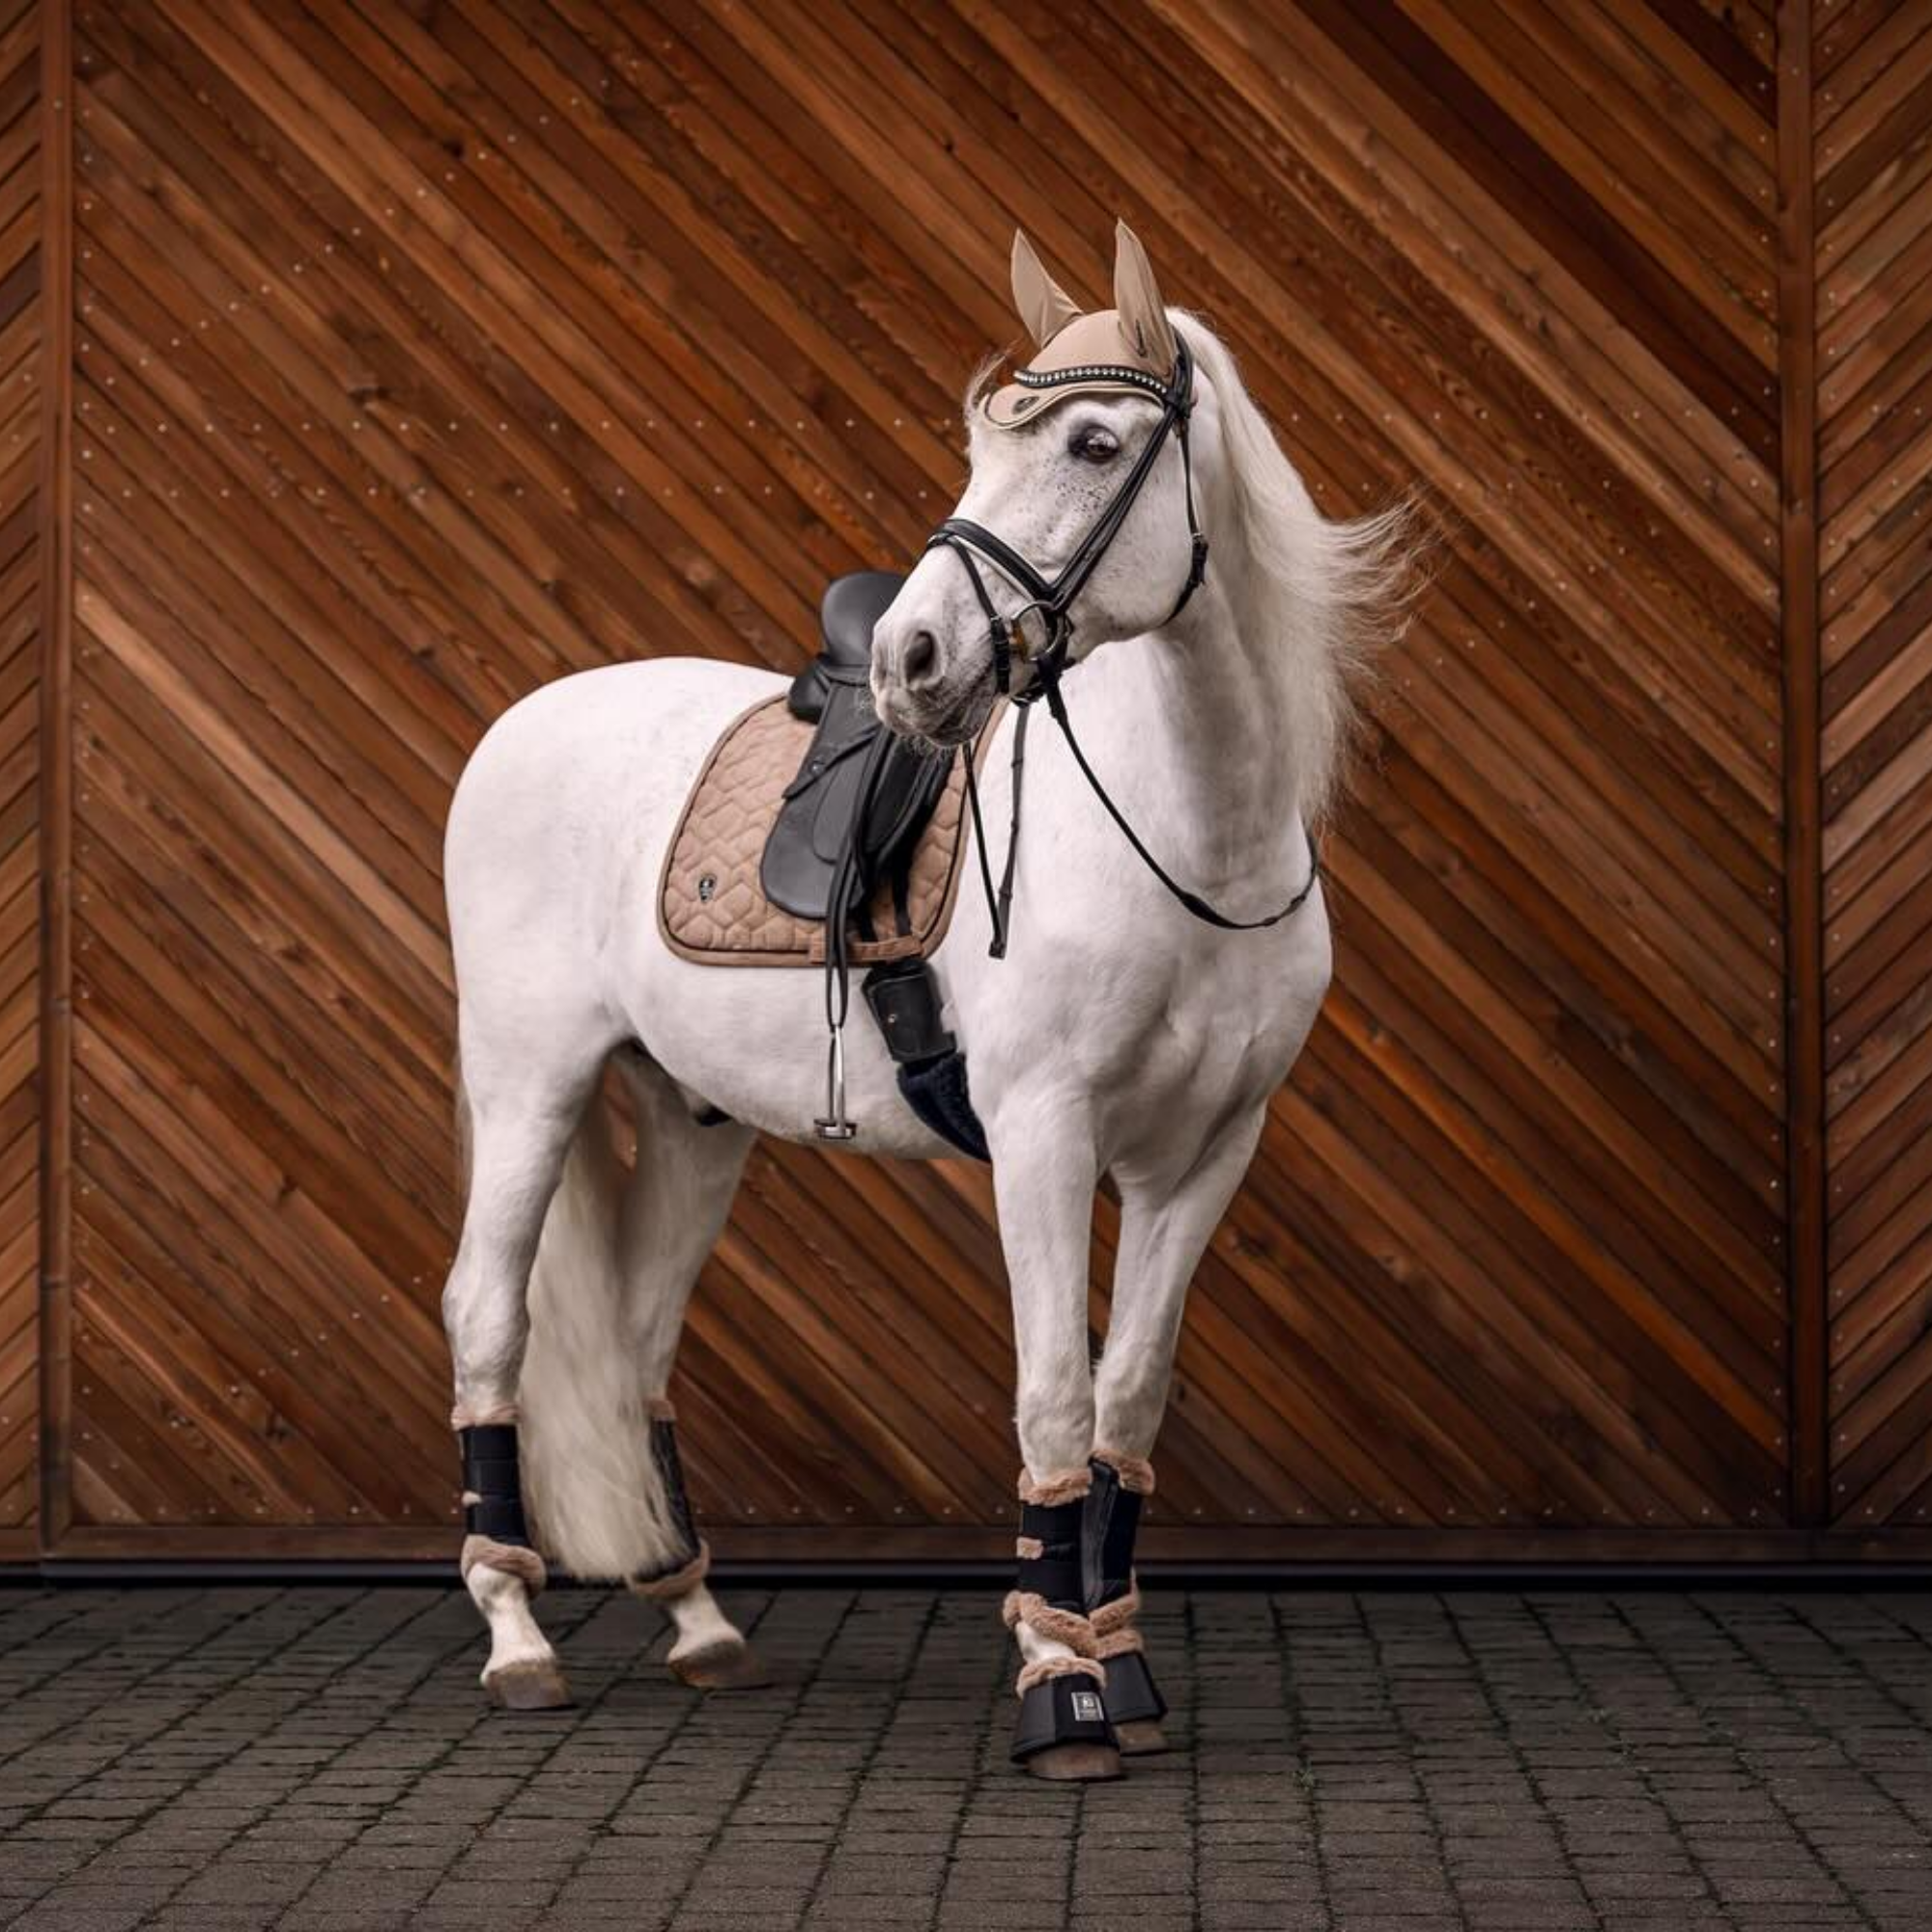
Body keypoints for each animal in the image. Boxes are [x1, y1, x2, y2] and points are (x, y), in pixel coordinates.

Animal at [439, 221, 1416, 1781]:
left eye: (1092, 440)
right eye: (980, 444)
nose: (911, 661)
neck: (1185, 840)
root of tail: (525, 722)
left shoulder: (1208, 1156)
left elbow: (1128, 1399)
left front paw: (1119, 1666)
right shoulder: (1043, 1136)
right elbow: (1055, 1390)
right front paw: (1058, 1689)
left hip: (695, 1119)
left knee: (638, 1344)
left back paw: (699, 1621)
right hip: (529, 1082)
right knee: (488, 1314)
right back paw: (518, 1636)